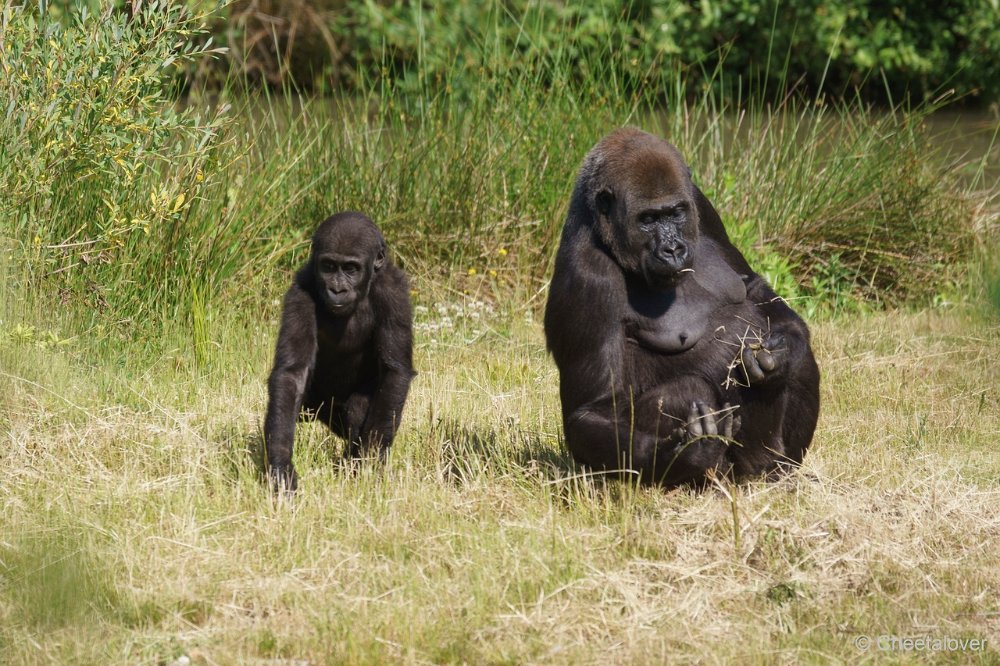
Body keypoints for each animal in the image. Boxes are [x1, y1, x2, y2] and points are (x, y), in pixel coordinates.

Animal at [264, 210, 416, 490]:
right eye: (328, 267)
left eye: (351, 269)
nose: (337, 289)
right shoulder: (300, 291)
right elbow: (292, 374)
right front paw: (281, 467)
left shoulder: (394, 291)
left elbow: (394, 372)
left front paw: (370, 465)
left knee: (357, 408)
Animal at [548, 127, 820, 486]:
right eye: (648, 219)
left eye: (676, 213)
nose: (673, 249)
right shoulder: (586, 274)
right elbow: (591, 411)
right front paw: (684, 455)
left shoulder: (697, 200)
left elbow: (750, 284)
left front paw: (780, 353)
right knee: (687, 390)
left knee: (799, 363)